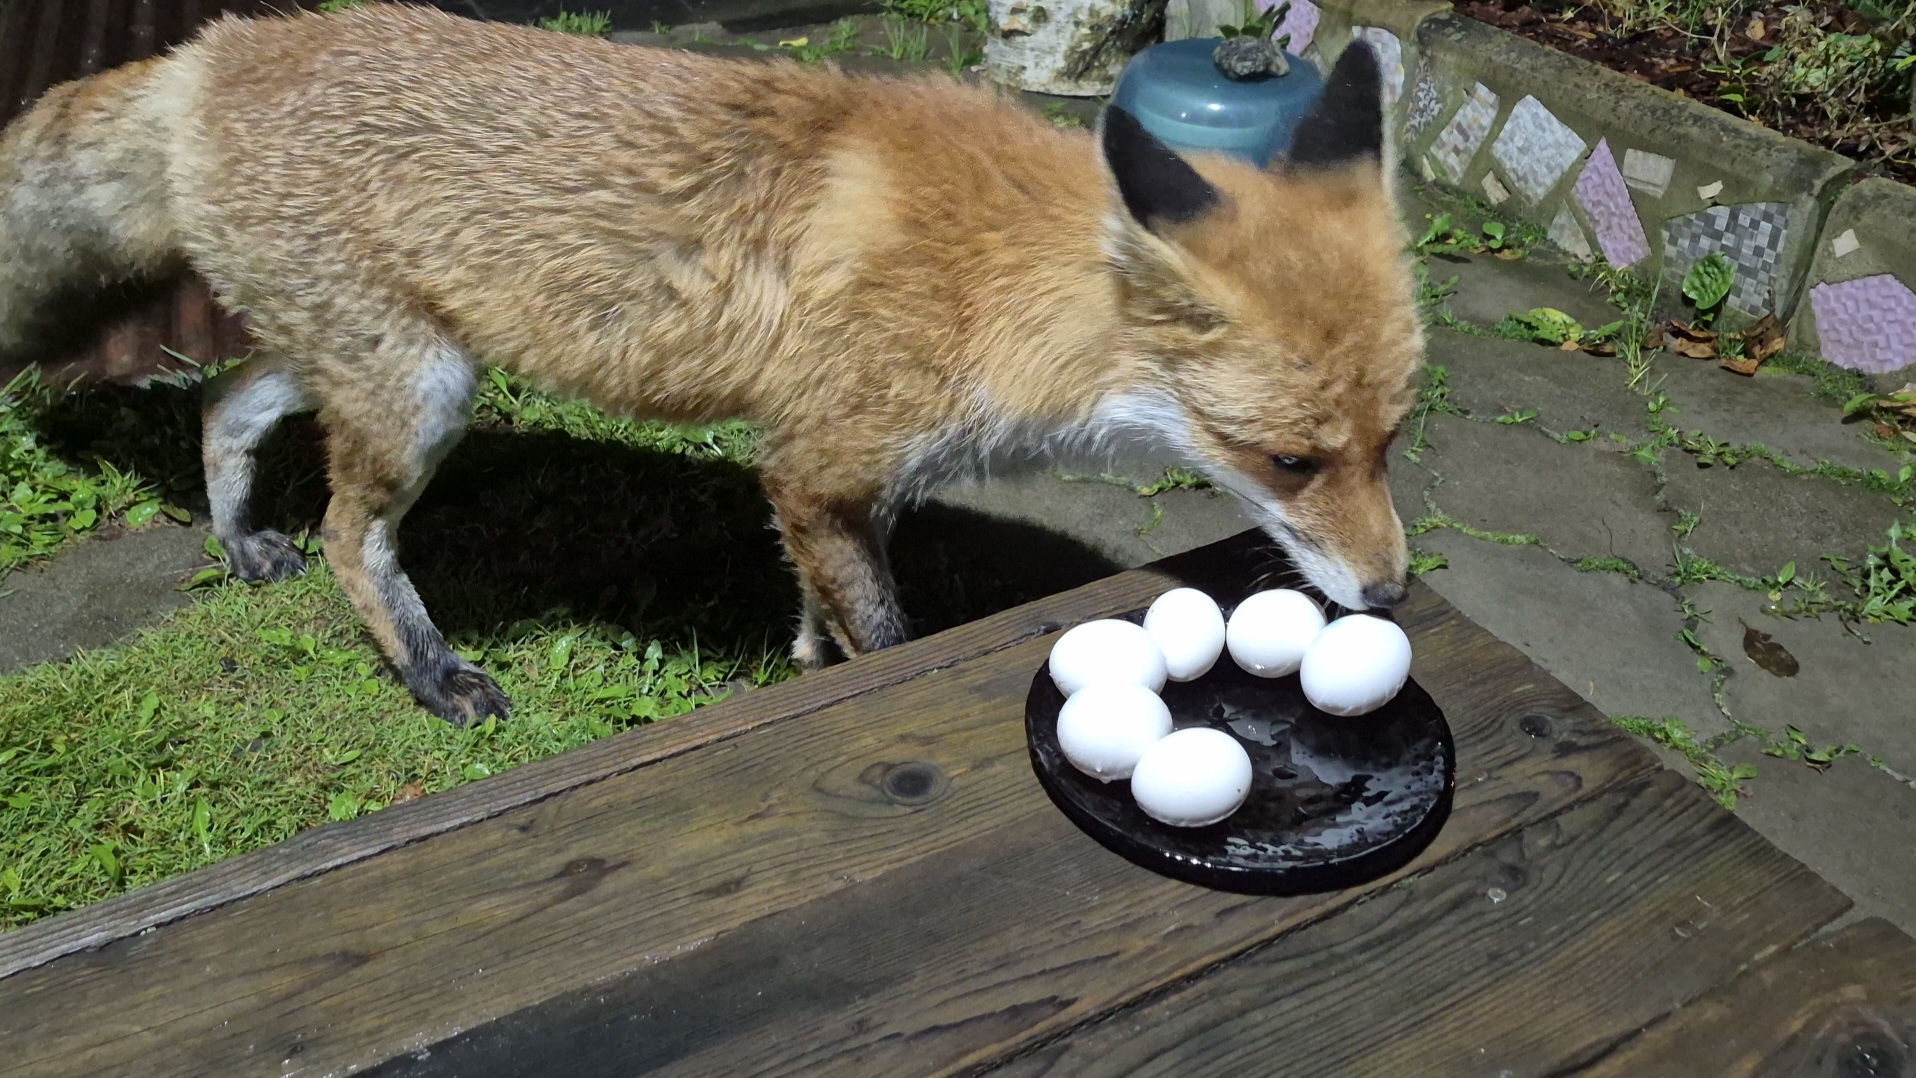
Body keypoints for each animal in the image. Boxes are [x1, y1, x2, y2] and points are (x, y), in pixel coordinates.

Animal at [0, 3, 1425, 724]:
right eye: (1286, 460)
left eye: (1392, 442)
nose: (1392, 593)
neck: (993, 276)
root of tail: (213, 47)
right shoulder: (819, 461)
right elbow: (883, 632)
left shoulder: (832, 480)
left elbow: (820, 611)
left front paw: (796, 669)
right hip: (419, 396)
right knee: (355, 535)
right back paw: (429, 672)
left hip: (374, 360)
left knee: (224, 405)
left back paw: (241, 539)